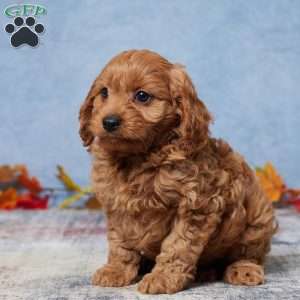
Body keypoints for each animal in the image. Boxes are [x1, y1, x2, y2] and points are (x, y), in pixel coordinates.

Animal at [79, 50, 276, 294]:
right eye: (104, 93)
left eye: (142, 96)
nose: (109, 121)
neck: (139, 158)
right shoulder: (116, 206)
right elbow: (120, 244)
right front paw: (116, 270)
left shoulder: (196, 206)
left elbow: (177, 246)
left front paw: (162, 278)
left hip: (258, 216)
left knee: (249, 252)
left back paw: (243, 269)